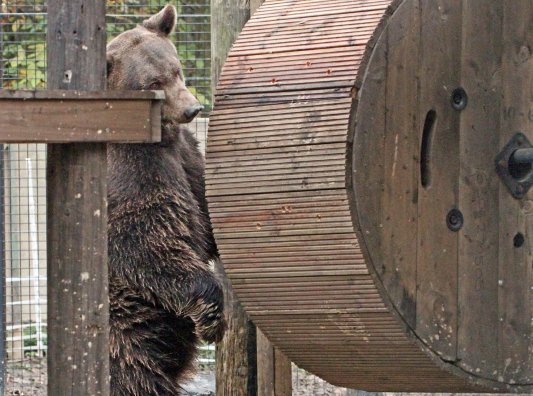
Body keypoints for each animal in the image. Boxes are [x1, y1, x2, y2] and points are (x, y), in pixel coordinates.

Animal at [106, 6, 224, 396]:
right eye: (153, 82)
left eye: (177, 69)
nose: (194, 109)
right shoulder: (133, 174)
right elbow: (149, 242)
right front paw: (213, 318)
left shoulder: (187, 157)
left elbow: (208, 212)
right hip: (125, 315)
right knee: (132, 370)